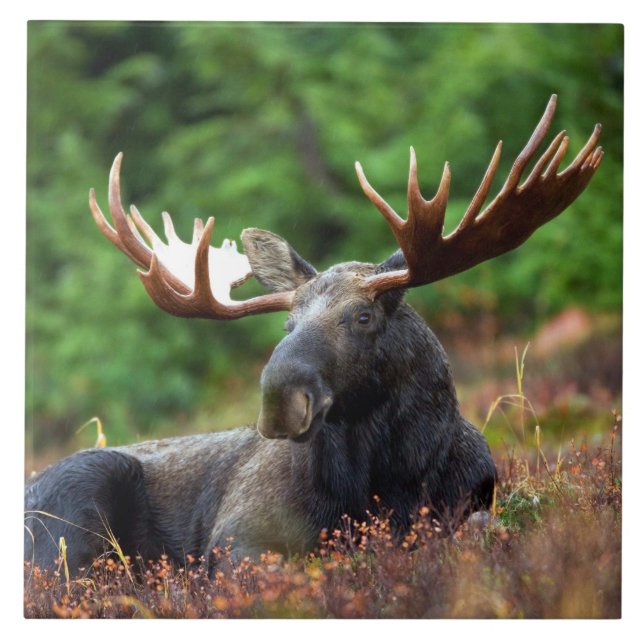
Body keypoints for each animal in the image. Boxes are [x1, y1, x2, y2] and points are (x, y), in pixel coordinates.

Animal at [24, 95, 602, 573]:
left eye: (363, 317)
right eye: (288, 323)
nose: (279, 399)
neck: (387, 483)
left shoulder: (473, 501)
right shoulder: (238, 535)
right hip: (78, 502)